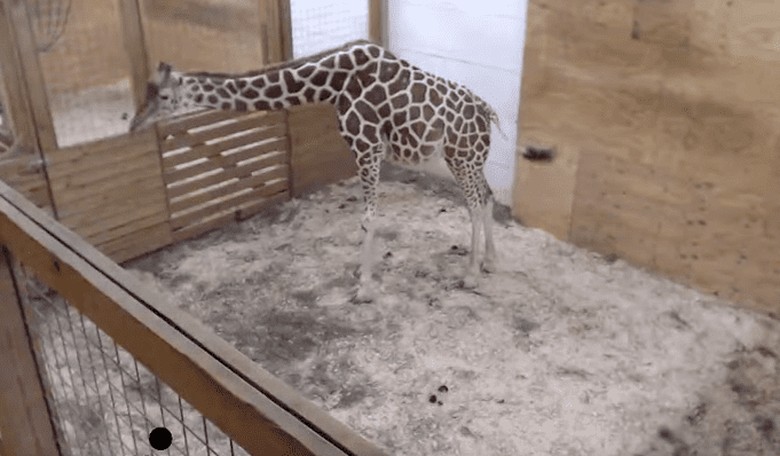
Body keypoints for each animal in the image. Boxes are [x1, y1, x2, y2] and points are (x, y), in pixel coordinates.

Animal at [130, 40, 502, 302]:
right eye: (147, 91)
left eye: (164, 96)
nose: (134, 125)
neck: (332, 83)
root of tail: (487, 113)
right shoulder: (365, 150)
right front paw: (362, 278)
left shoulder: (367, 146)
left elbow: (369, 218)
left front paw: (364, 288)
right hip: (467, 160)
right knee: (486, 197)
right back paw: (491, 261)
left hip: (461, 157)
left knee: (473, 203)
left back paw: (471, 274)